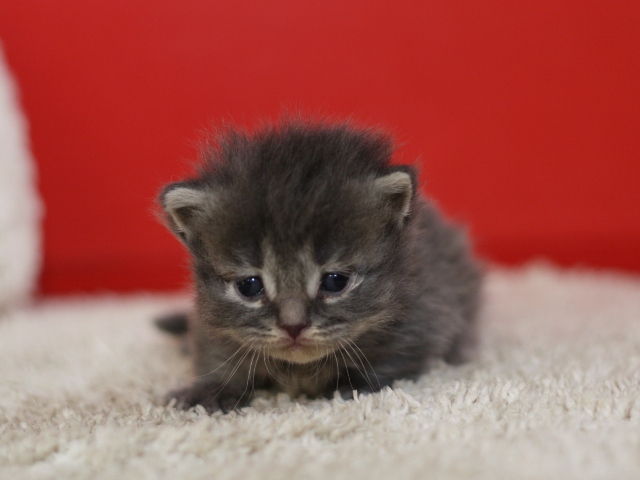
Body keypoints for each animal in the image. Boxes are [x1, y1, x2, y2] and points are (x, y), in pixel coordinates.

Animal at [159, 120, 480, 412]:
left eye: (335, 281)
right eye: (249, 286)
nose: (293, 326)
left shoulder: (427, 309)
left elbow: (395, 358)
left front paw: (352, 384)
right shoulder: (209, 326)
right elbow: (215, 354)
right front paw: (213, 390)